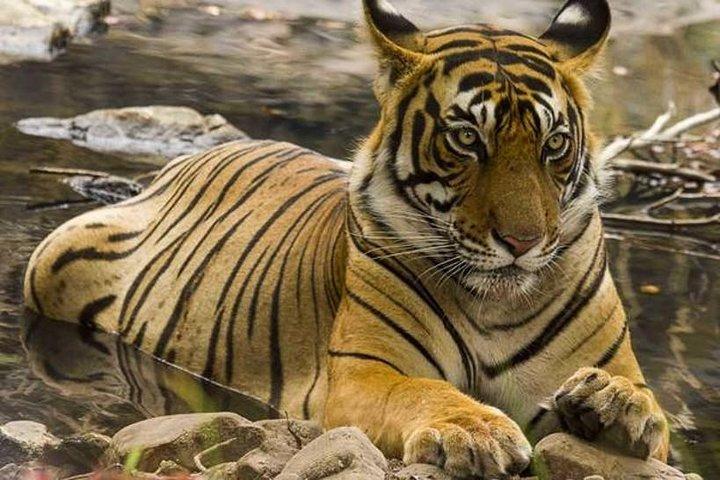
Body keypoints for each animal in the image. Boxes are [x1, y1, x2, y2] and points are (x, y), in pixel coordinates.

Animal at [24, 0, 670, 477]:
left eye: (553, 144)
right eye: (466, 138)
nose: (522, 241)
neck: (496, 304)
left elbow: (651, 413)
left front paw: (612, 403)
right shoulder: (361, 374)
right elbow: (422, 391)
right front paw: (477, 429)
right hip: (52, 260)